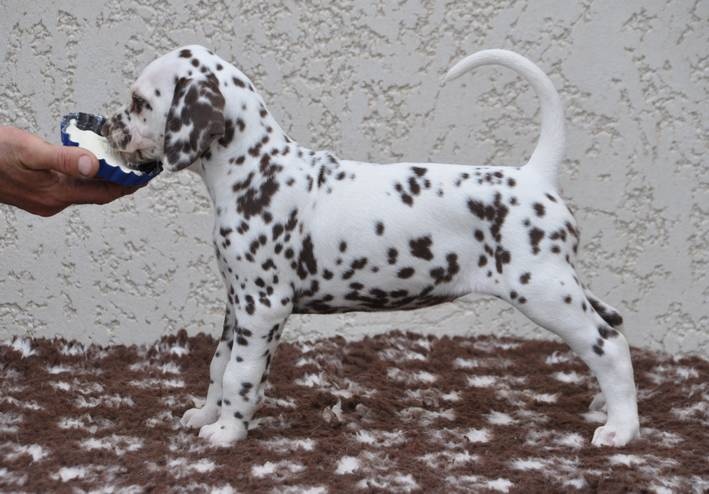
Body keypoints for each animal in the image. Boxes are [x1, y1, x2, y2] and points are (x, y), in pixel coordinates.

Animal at [103, 45, 640, 448]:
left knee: (609, 345)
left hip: (544, 292)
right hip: (562, 286)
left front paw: (227, 431)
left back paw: (621, 429)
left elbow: (240, 374)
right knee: (611, 322)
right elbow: (219, 364)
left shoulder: (263, 305)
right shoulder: (238, 303)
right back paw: (604, 407)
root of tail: (534, 176)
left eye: (139, 102)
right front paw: (204, 414)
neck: (257, 171)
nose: (109, 125)